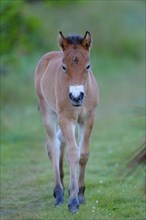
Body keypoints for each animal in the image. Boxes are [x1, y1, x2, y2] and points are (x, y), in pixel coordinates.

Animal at [34, 31, 98, 212]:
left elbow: (83, 154)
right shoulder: (66, 119)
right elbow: (73, 154)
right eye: (63, 67)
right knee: (53, 146)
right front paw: (73, 200)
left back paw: (62, 186)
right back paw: (59, 193)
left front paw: (81, 194)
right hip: (48, 111)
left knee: (59, 141)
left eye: (88, 66)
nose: (76, 97)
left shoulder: (88, 118)